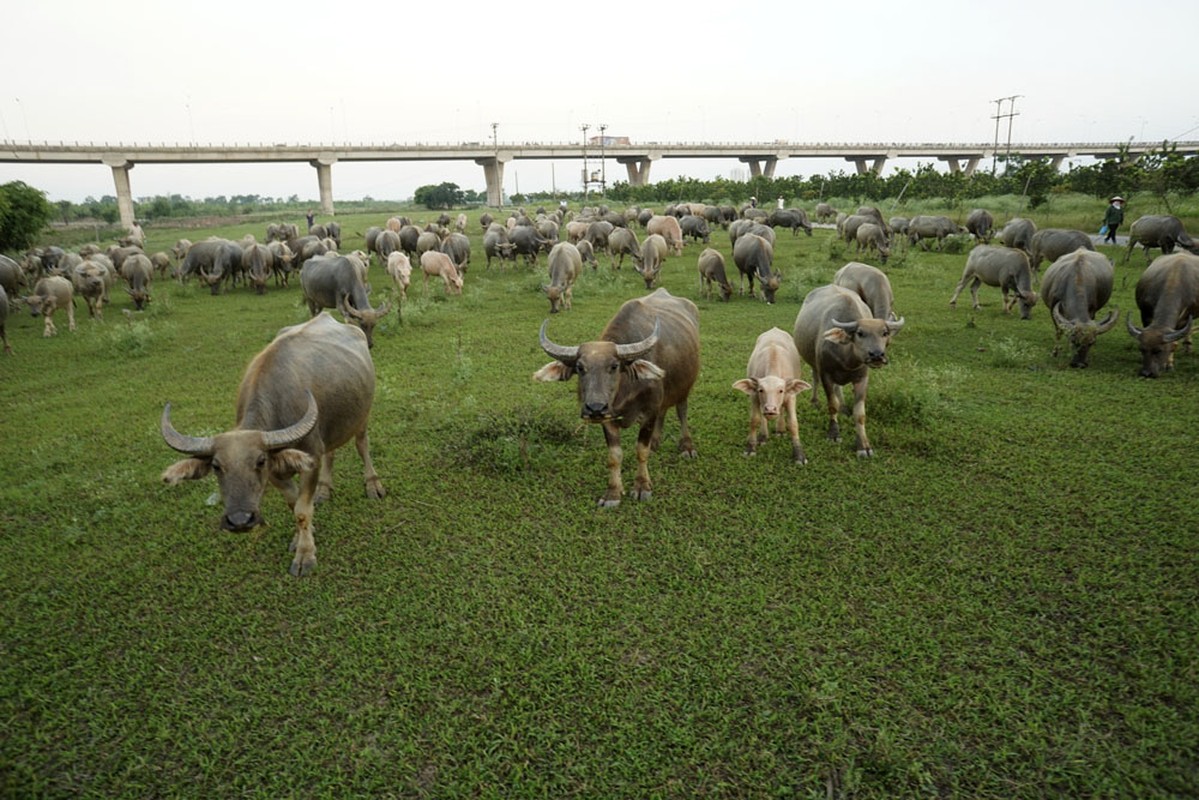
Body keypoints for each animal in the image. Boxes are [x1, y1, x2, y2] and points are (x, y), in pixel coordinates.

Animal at [159, 311, 383, 575]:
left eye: (259, 461)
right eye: (216, 466)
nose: (240, 520)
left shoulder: (310, 459)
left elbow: (302, 510)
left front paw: (305, 555)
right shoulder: (276, 473)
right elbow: (293, 504)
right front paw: (301, 537)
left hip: (362, 415)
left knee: (362, 444)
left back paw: (372, 484)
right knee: (331, 451)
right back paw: (324, 489)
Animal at [537, 287, 700, 506]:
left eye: (614, 366)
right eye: (580, 367)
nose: (595, 408)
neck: (625, 391)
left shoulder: (649, 412)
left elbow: (641, 450)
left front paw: (642, 486)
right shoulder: (609, 418)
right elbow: (614, 455)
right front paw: (613, 493)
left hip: (685, 386)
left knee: (682, 411)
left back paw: (686, 447)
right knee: (664, 411)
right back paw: (656, 442)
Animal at [728, 326, 815, 462]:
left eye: (781, 390)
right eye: (761, 390)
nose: (770, 409)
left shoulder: (790, 397)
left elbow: (793, 424)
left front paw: (799, 455)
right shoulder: (754, 397)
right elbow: (755, 420)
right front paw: (750, 448)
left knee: (782, 410)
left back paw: (780, 429)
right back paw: (763, 435)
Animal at [796, 283, 901, 455]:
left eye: (884, 333)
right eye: (860, 333)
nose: (877, 355)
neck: (846, 357)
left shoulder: (862, 378)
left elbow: (859, 414)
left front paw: (863, 446)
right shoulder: (826, 374)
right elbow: (832, 405)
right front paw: (833, 434)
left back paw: (844, 407)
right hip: (812, 362)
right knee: (815, 377)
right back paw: (815, 401)